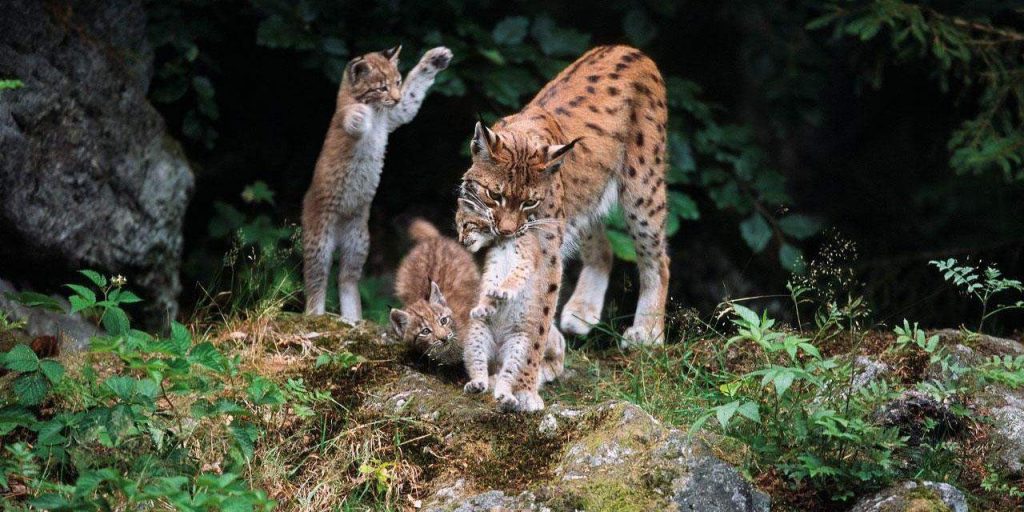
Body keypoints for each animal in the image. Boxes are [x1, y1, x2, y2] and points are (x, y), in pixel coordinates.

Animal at [299, 46, 452, 321]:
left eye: (398, 83)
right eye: (381, 88)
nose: (395, 98)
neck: (379, 112)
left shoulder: (397, 114)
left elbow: (414, 92)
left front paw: (435, 59)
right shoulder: (347, 120)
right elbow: (350, 116)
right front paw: (360, 113)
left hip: (358, 241)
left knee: (346, 278)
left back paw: (352, 319)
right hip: (320, 239)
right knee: (316, 278)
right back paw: (315, 315)